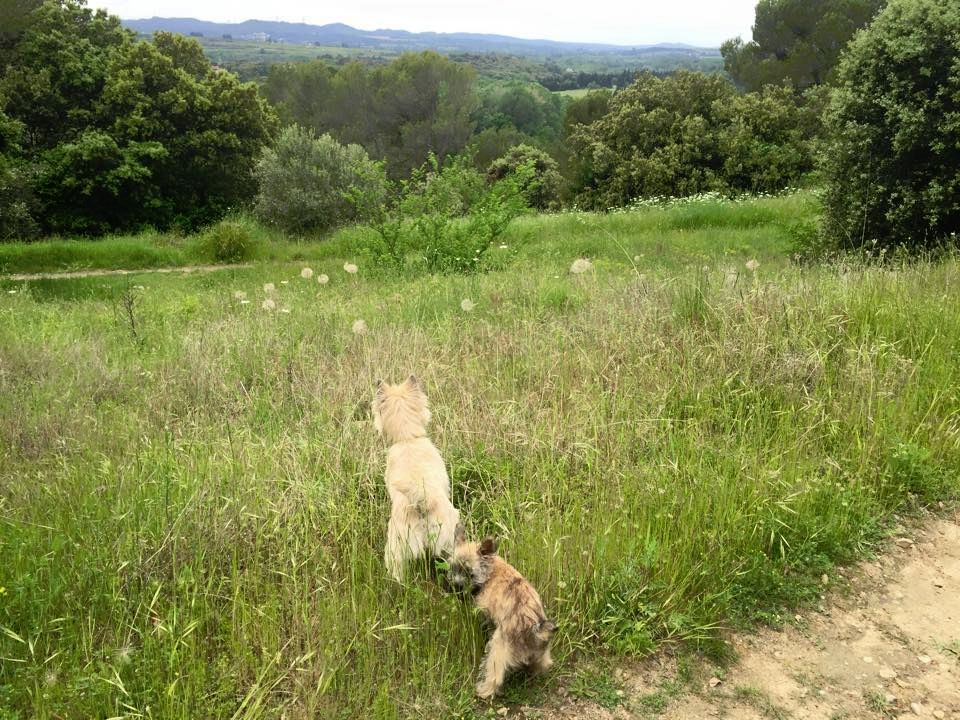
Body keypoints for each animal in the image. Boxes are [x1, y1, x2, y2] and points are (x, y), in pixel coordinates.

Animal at [448, 524, 556, 696]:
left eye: (470, 574)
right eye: (454, 568)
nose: (455, 588)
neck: (490, 570)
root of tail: (535, 630)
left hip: (497, 648)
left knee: (494, 677)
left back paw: (483, 690)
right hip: (542, 652)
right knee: (542, 663)